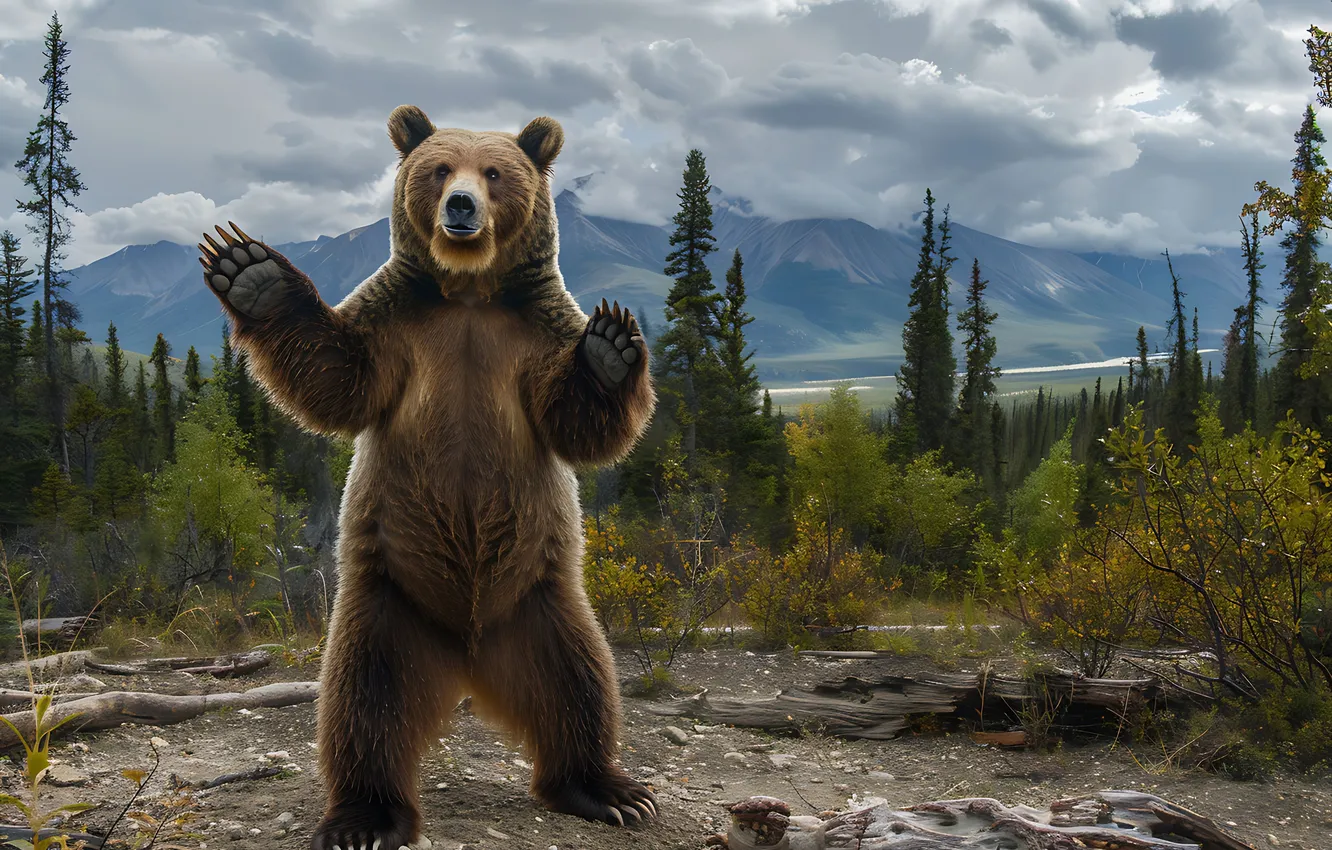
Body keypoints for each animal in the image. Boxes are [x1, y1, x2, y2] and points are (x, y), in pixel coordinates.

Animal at [197, 105, 658, 850]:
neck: (468, 291)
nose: (461, 205)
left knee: (581, 680)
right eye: (440, 169)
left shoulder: (535, 331)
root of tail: (468, 655)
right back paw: (365, 817)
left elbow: (578, 425)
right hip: (387, 601)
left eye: (494, 172)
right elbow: (338, 377)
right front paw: (251, 271)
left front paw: (612, 344)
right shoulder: (398, 321)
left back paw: (608, 789)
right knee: (362, 702)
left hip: (542, 598)